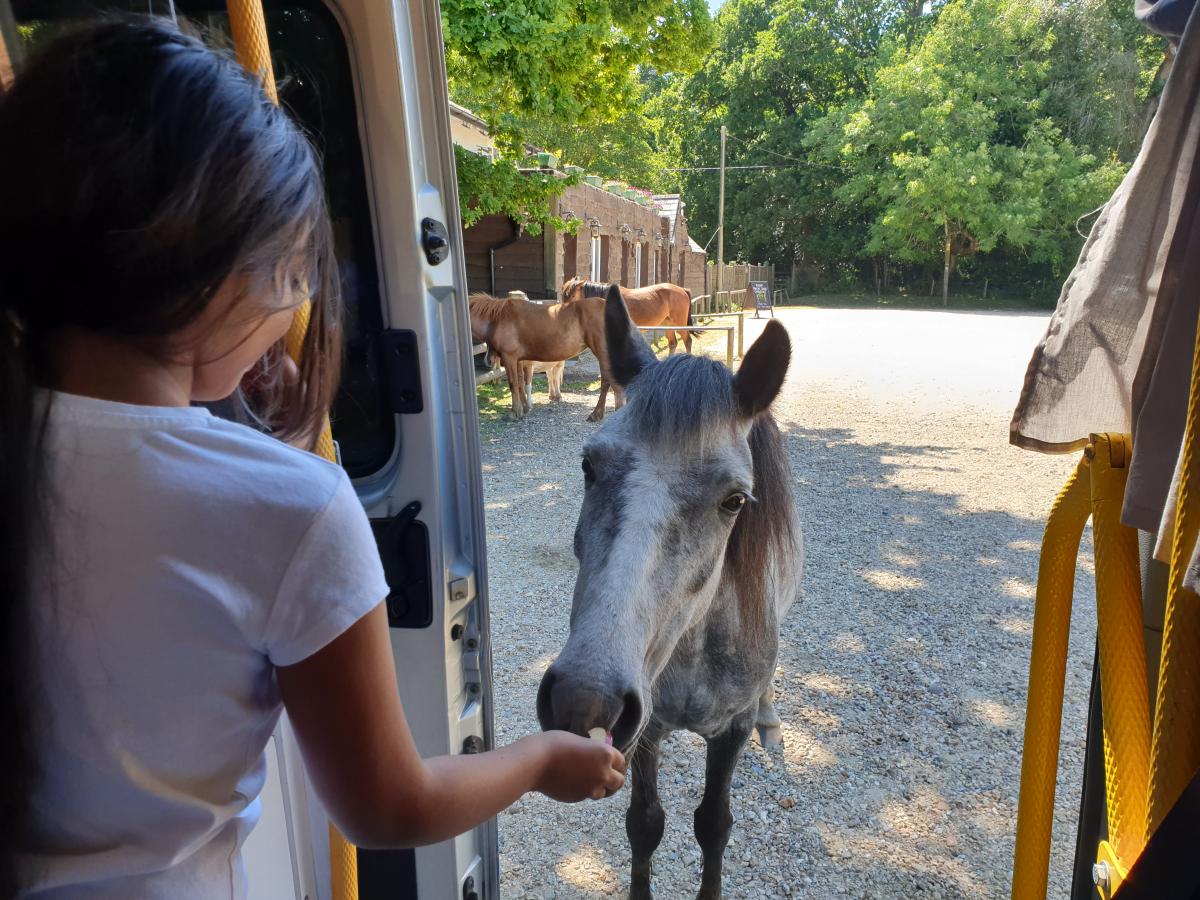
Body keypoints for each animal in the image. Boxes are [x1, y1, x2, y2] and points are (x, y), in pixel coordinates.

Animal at [470, 294, 619, 424]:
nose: (488, 361)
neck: (499, 318)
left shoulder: (509, 358)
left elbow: (513, 384)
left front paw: (514, 412)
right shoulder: (518, 360)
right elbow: (520, 383)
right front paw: (524, 409)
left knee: (607, 381)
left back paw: (598, 414)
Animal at [561, 278, 696, 355]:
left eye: (572, 295)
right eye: (563, 295)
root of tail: (682, 289)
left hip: (679, 324)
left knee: (687, 341)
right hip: (667, 324)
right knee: (673, 343)